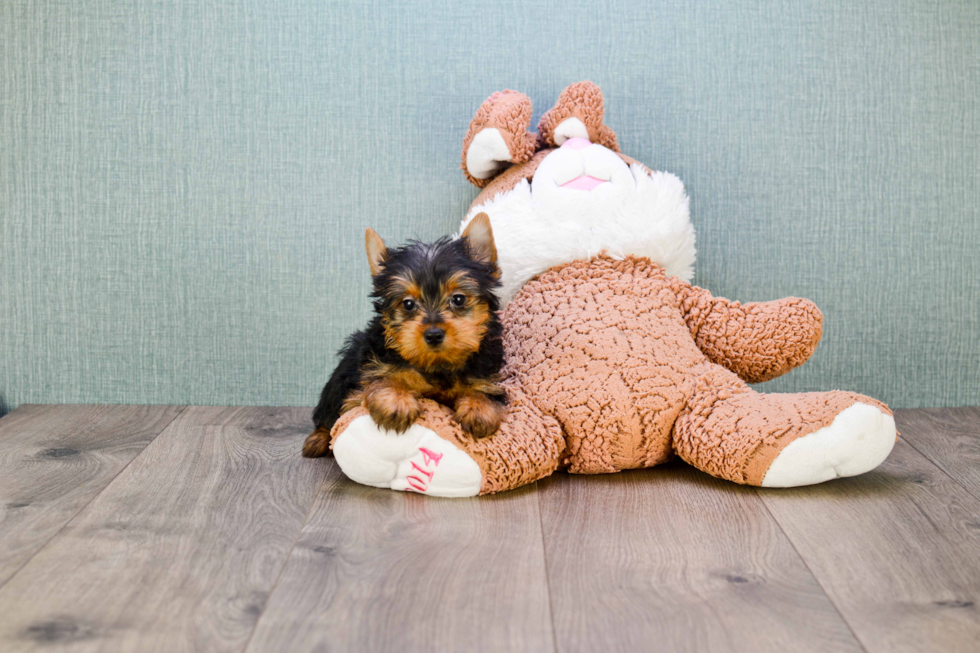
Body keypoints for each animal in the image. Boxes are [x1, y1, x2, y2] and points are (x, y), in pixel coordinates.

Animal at [302, 214, 506, 458]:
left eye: (458, 299)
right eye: (408, 304)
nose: (433, 334)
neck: (436, 365)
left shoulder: (484, 372)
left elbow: (483, 389)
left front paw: (479, 407)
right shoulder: (365, 376)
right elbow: (382, 378)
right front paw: (396, 400)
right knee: (329, 412)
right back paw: (319, 438)